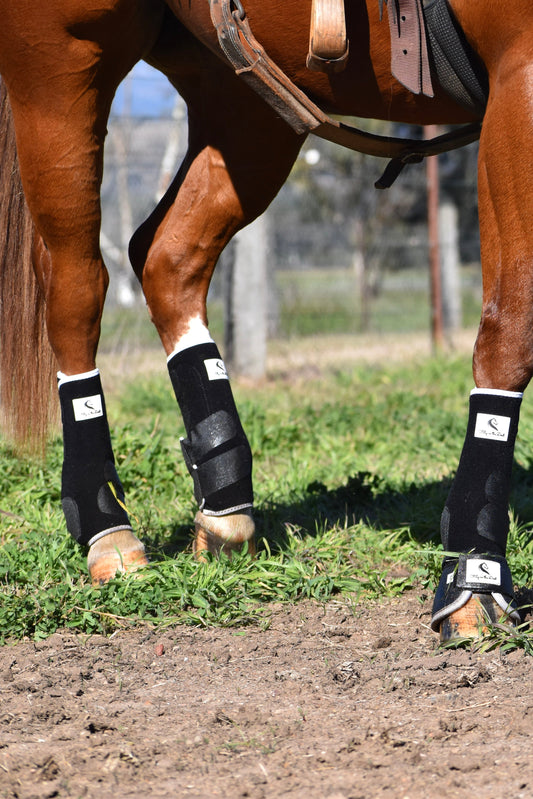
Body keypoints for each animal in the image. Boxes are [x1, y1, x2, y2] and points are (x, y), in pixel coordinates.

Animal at [0, 0, 530, 643]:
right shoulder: (519, 69)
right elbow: (511, 330)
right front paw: (476, 580)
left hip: (246, 98)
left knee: (168, 260)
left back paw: (225, 504)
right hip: (61, 64)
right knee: (75, 287)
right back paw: (108, 529)